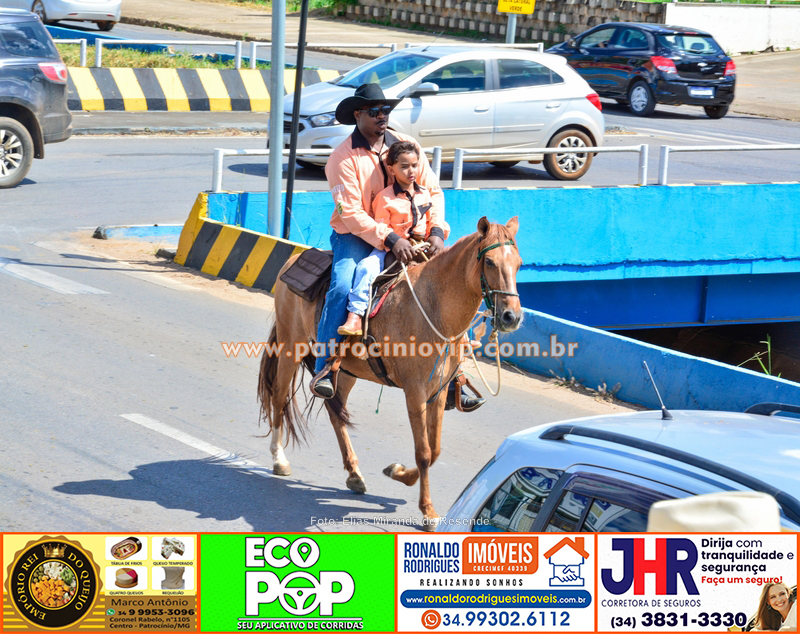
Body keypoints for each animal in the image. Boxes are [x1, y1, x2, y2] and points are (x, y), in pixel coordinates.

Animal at [257, 216, 523, 529]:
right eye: (490, 262)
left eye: (519, 263)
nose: (512, 317)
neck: (435, 309)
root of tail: (293, 260)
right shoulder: (415, 392)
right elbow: (424, 452)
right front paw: (427, 511)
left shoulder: (439, 391)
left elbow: (434, 449)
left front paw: (399, 473)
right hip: (290, 347)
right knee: (278, 397)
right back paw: (279, 459)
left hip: (346, 371)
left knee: (336, 412)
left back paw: (354, 474)